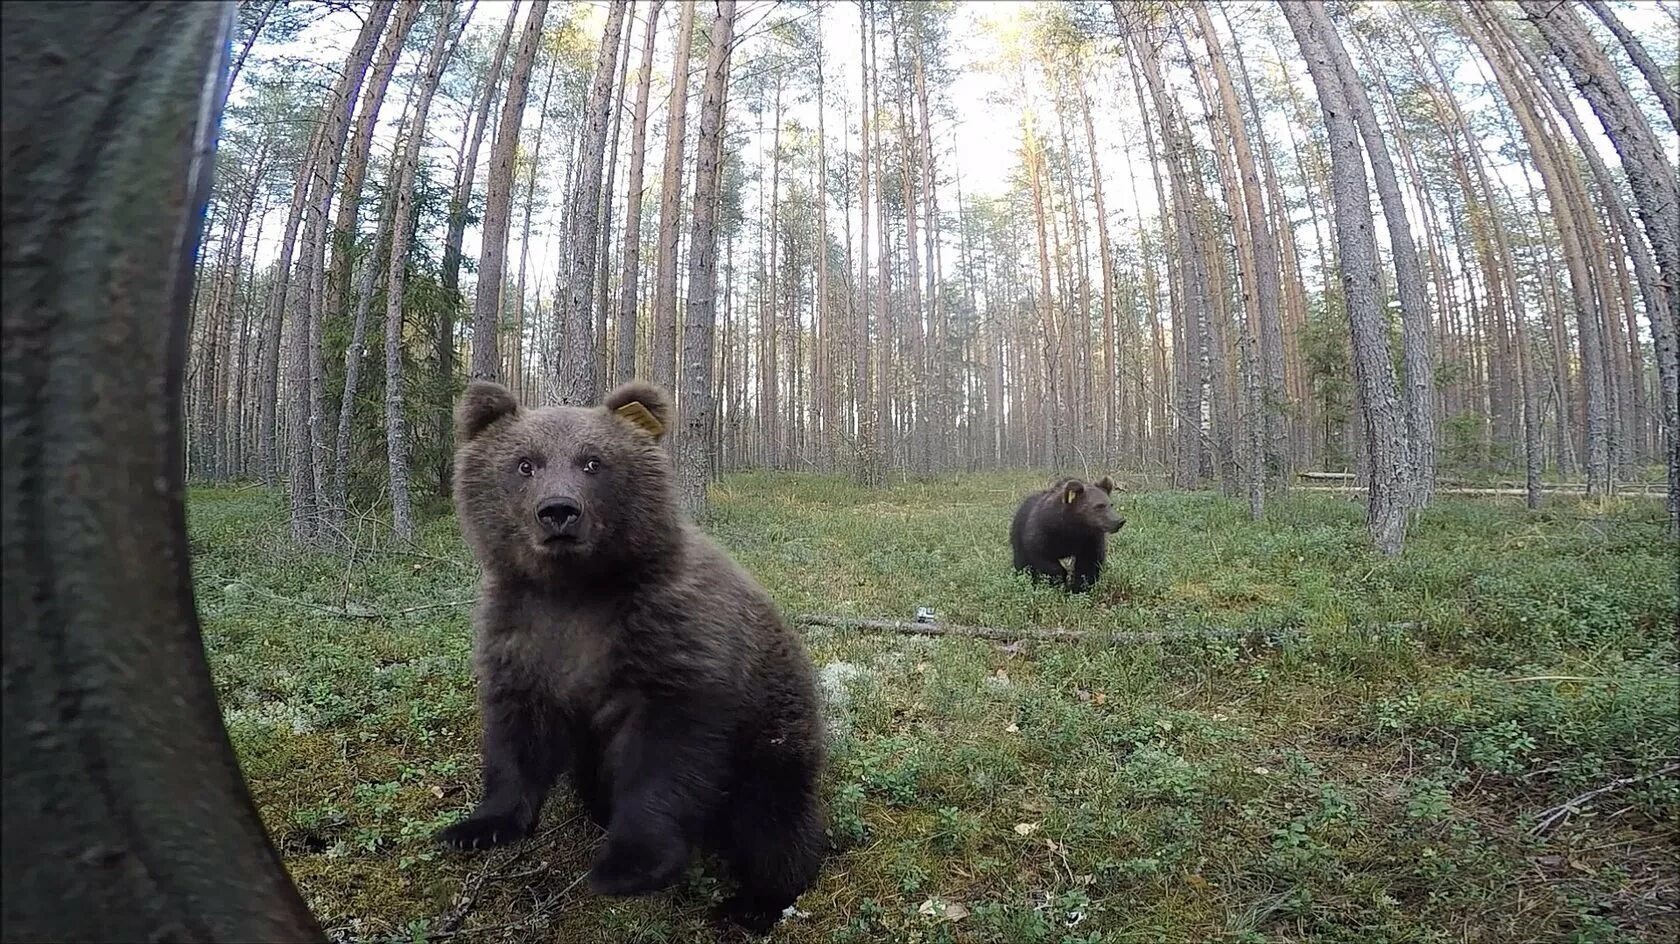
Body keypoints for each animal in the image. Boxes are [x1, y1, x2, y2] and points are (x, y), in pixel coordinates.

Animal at [436, 377, 823, 927]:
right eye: (525, 464)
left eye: (593, 462)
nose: (558, 511)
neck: (576, 590)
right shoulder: (523, 636)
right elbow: (517, 734)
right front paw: (476, 827)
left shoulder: (670, 644)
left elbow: (663, 756)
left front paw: (628, 866)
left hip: (771, 735)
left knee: (772, 821)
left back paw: (750, 904)